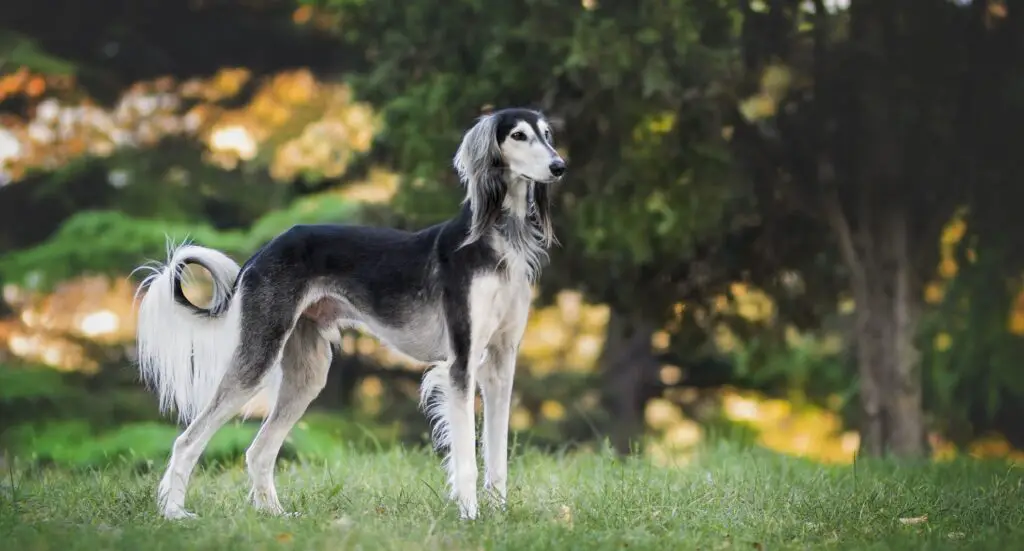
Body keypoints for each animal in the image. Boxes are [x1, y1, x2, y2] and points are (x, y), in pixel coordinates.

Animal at [132, 107, 565, 518]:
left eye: (547, 134)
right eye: (518, 135)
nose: (559, 166)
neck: (497, 240)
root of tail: (263, 252)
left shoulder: (500, 363)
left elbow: (497, 454)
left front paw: (499, 515)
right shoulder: (461, 363)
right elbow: (467, 459)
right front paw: (470, 516)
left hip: (307, 373)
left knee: (258, 451)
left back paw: (275, 515)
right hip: (257, 356)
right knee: (187, 440)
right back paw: (174, 512)